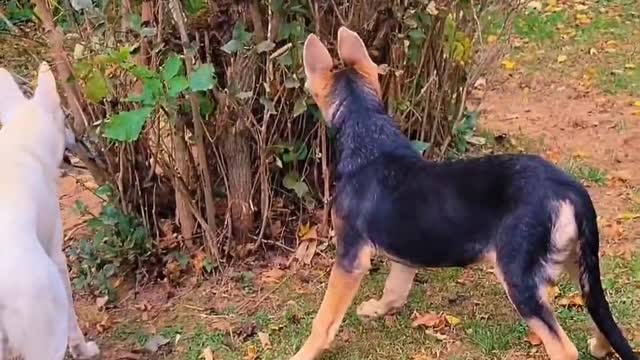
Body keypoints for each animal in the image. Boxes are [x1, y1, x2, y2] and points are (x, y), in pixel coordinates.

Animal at [0, 63, 99, 358]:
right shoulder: (57, 256)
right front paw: (83, 349)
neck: (20, 142)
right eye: (65, 119)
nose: (77, 138)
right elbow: (73, 324)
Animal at [292, 27, 636, 360]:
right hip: (576, 262)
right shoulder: (406, 251)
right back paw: (600, 347)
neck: (369, 137)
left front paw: (303, 353)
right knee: (604, 317)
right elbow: (394, 290)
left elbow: (323, 321)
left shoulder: (350, 257)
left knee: (564, 348)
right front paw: (376, 309)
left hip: (520, 276)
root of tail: (570, 189)